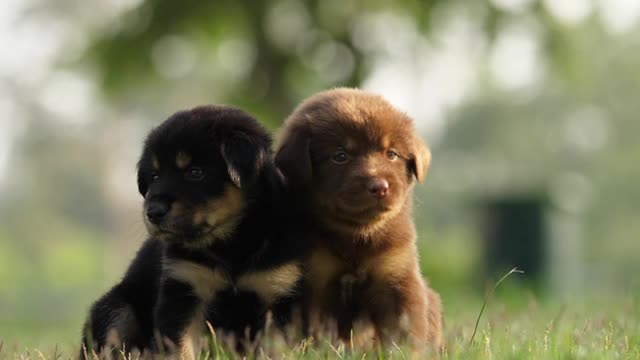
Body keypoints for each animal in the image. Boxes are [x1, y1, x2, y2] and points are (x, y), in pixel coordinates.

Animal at [82, 105, 302, 358]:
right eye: (154, 176)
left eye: (196, 172)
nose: (153, 212)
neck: (231, 246)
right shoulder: (184, 287)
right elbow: (180, 346)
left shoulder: (277, 291)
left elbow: (274, 348)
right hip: (117, 307)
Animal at [276, 88, 444, 350]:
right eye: (340, 156)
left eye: (391, 154)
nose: (380, 187)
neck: (356, 235)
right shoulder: (314, 279)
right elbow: (315, 331)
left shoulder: (396, 275)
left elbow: (404, 330)